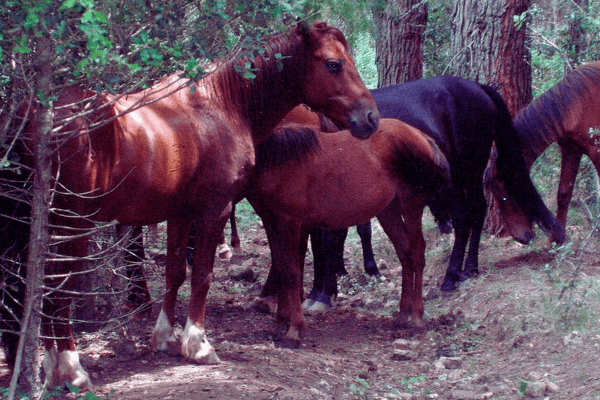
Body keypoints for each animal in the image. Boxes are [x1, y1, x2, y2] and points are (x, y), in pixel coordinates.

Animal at [3, 21, 380, 388]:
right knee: (56, 288)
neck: (223, 103)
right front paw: (197, 344)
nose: (372, 118)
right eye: (334, 64)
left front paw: (164, 337)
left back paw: (51, 370)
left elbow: (175, 273)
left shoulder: (180, 213)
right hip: (71, 224)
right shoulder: (215, 209)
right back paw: (71, 370)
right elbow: (202, 275)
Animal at [244, 110, 450, 338]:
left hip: (411, 206)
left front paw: (295, 328)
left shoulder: (290, 222)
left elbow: (292, 272)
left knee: (417, 252)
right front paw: (282, 321)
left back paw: (416, 316)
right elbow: (281, 268)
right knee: (405, 252)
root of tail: (421, 136)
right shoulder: (271, 221)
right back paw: (402, 314)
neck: (276, 159)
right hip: (389, 211)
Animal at [488, 61, 600, 244]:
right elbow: (563, 194)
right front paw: (556, 240)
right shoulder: (571, 151)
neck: (577, 104)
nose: (522, 238)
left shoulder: (596, 151)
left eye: (504, 197)